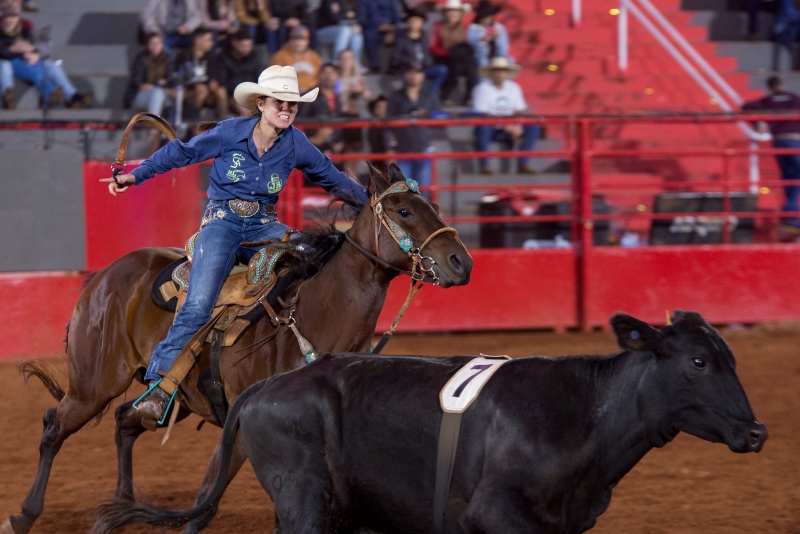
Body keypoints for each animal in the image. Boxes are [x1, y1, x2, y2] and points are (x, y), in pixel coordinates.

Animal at [3, 165, 472, 534]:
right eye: (405, 211)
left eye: (433, 205)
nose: (461, 262)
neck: (315, 315)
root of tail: (102, 276)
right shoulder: (245, 431)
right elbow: (203, 508)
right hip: (92, 384)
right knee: (54, 427)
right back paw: (24, 515)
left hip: (171, 399)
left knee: (124, 421)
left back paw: (122, 505)